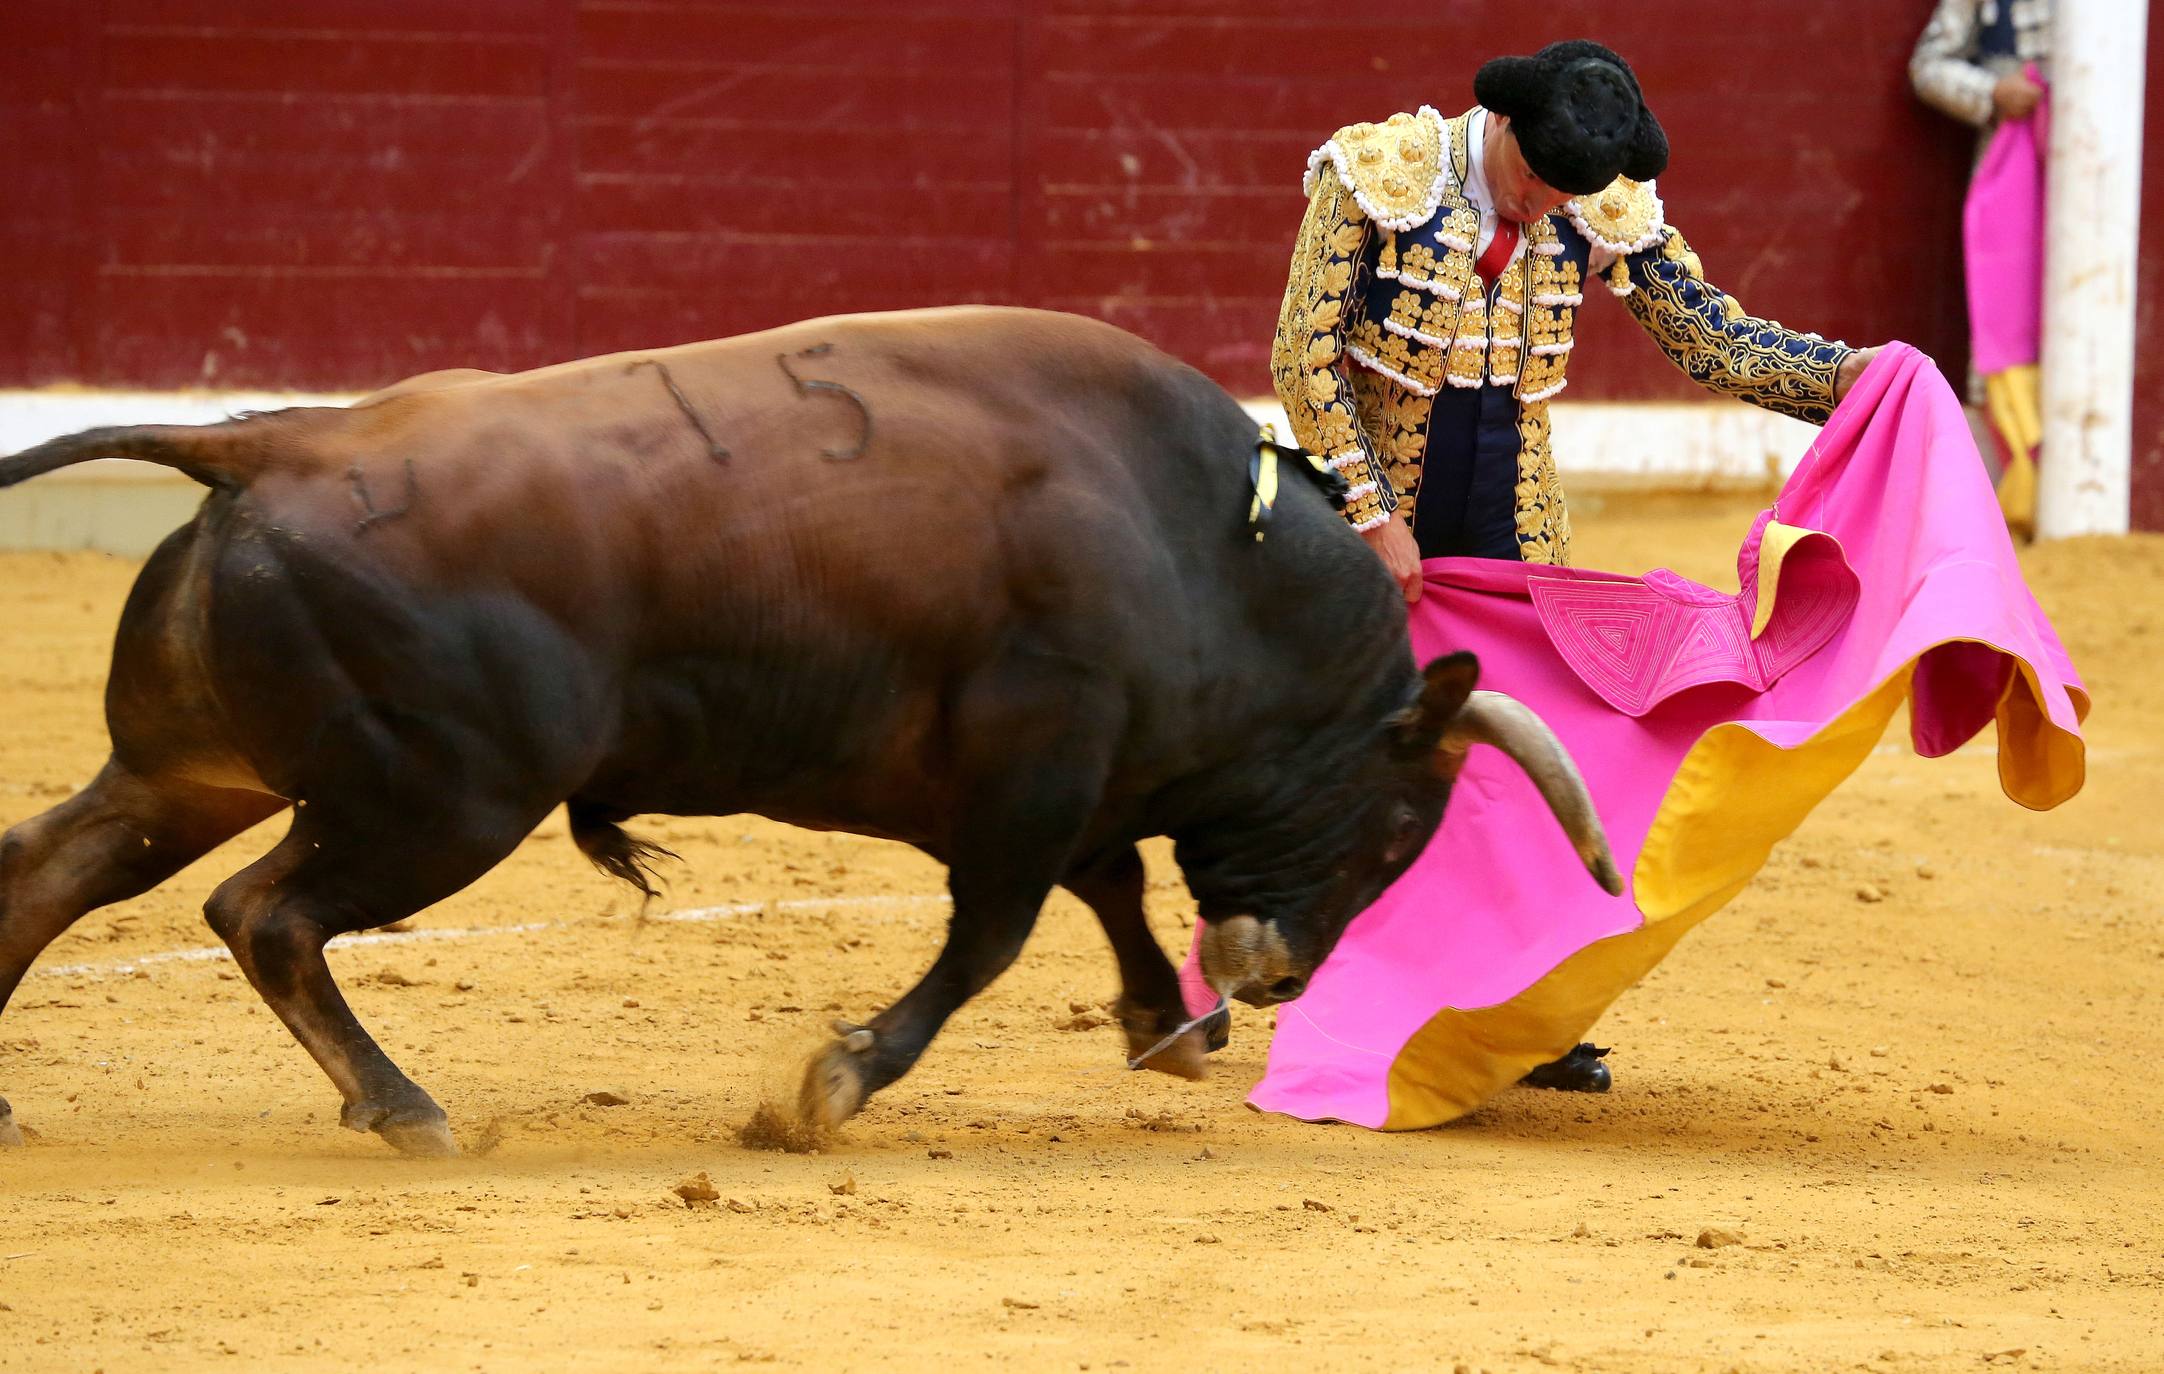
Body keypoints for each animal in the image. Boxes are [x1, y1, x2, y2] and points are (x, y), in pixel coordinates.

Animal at [0, 307, 1618, 1159]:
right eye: (1398, 826)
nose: (1282, 979)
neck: (1206, 545)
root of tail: (272, 442)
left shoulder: (1067, 778)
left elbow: (1105, 885)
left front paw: (1167, 1026)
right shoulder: (1031, 779)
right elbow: (995, 939)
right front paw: (836, 1082)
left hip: (191, 771)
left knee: (48, 867)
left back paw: (13, 1110)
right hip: (441, 804)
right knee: (263, 914)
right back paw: (407, 1112)